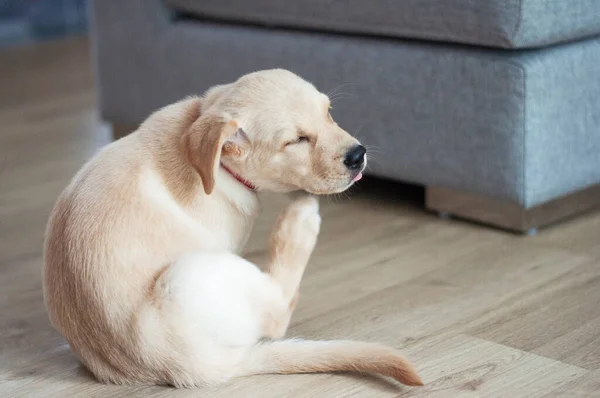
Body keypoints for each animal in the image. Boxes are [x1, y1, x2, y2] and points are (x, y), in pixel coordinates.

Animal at [43, 70, 422, 388]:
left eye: (329, 112)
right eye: (297, 140)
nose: (358, 156)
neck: (217, 164)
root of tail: (198, 367)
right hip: (188, 275)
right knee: (276, 312)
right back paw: (298, 220)